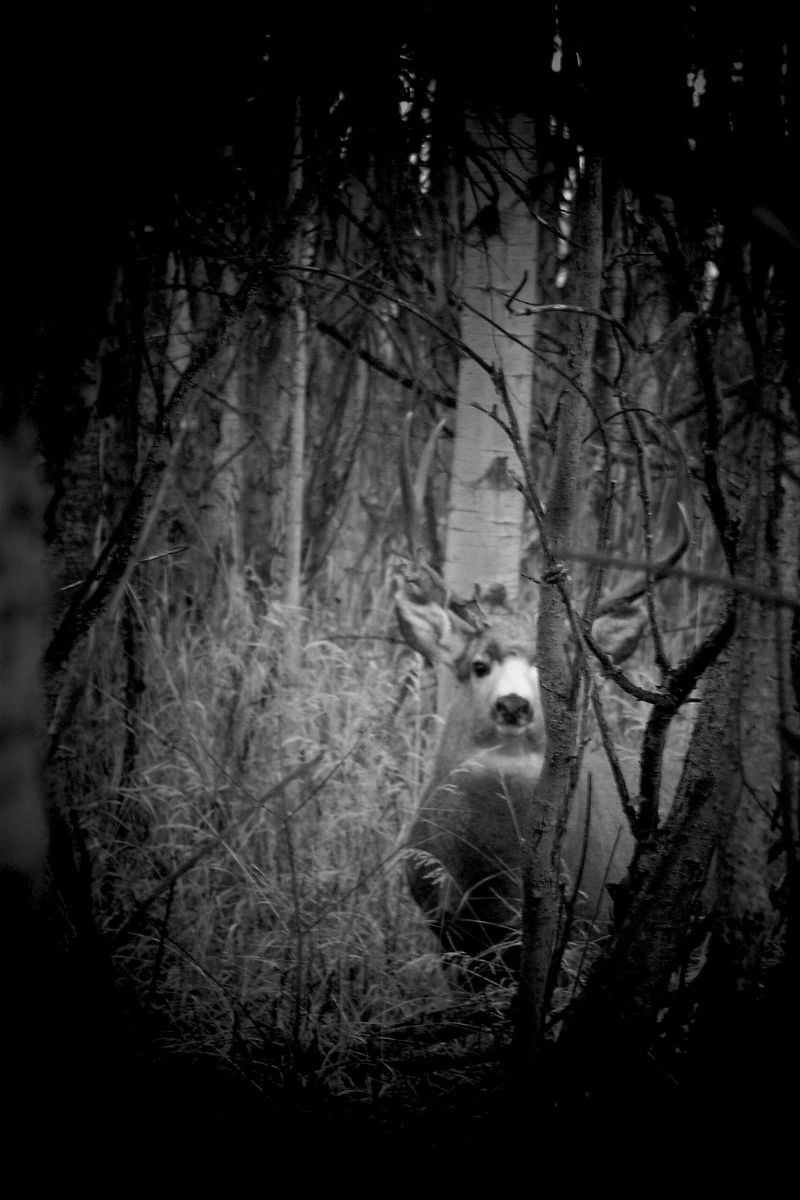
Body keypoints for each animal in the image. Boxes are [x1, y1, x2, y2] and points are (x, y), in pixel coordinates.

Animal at [394, 413, 689, 974]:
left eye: (552, 671)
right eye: (479, 665)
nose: (514, 705)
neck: (494, 884)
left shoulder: (584, 927)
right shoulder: (446, 928)